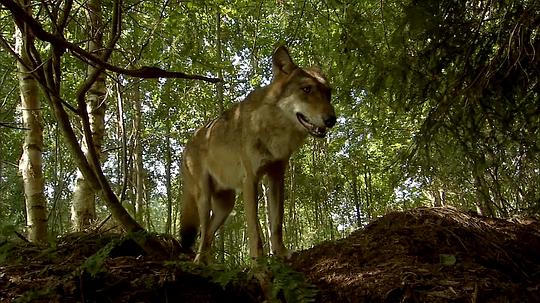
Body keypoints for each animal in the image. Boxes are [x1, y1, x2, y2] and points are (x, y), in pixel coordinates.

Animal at [179, 45, 336, 264]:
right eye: (307, 89)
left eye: (328, 94)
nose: (332, 120)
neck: (274, 129)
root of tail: (186, 145)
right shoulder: (250, 180)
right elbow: (255, 230)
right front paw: (258, 263)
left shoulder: (276, 177)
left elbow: (276, 223)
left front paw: (281, 253)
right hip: (204, 199)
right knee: (202, 235)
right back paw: (198, 263)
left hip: (226, 206)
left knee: (208, 234)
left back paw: (212, 265)